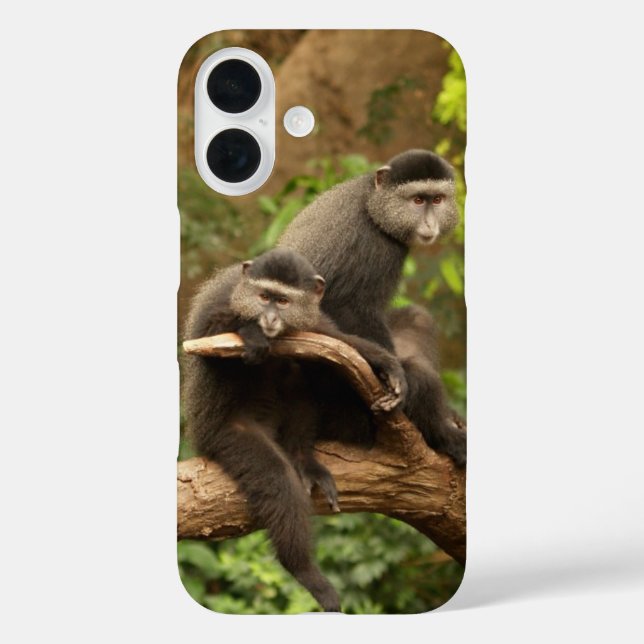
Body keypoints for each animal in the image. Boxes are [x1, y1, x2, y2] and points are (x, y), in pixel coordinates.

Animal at [182, 248, 407, 612]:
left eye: (283, 302)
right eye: (264, 298)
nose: (270, 319)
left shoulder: (313, 319)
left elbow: (337, 340)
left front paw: (388, 365)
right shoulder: (223, 302)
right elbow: (210, 339)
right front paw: (251, 332)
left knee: (303, 370)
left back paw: (303, 459)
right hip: (223, 435)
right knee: (278, 480)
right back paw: (304, 570)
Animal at [278, 149, 466, 467]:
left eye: (437, 200)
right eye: (418, 201)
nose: (430, 225)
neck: (371, 203)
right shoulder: (375, 247)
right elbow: (346, 307)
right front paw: (393, 374)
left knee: (418, 319)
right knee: (418, 373)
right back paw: (443, 435)